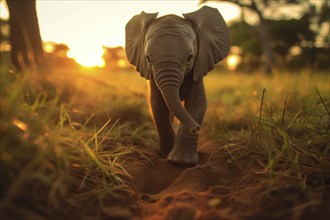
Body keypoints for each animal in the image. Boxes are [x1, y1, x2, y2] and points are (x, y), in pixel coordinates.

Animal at [125, 6, 231, 166]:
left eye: (190, 58)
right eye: (148, 58)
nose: (197, 128)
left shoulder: (198, 68)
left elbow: (197, 104)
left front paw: (182, 161)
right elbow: (158, 105)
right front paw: (166, 155)